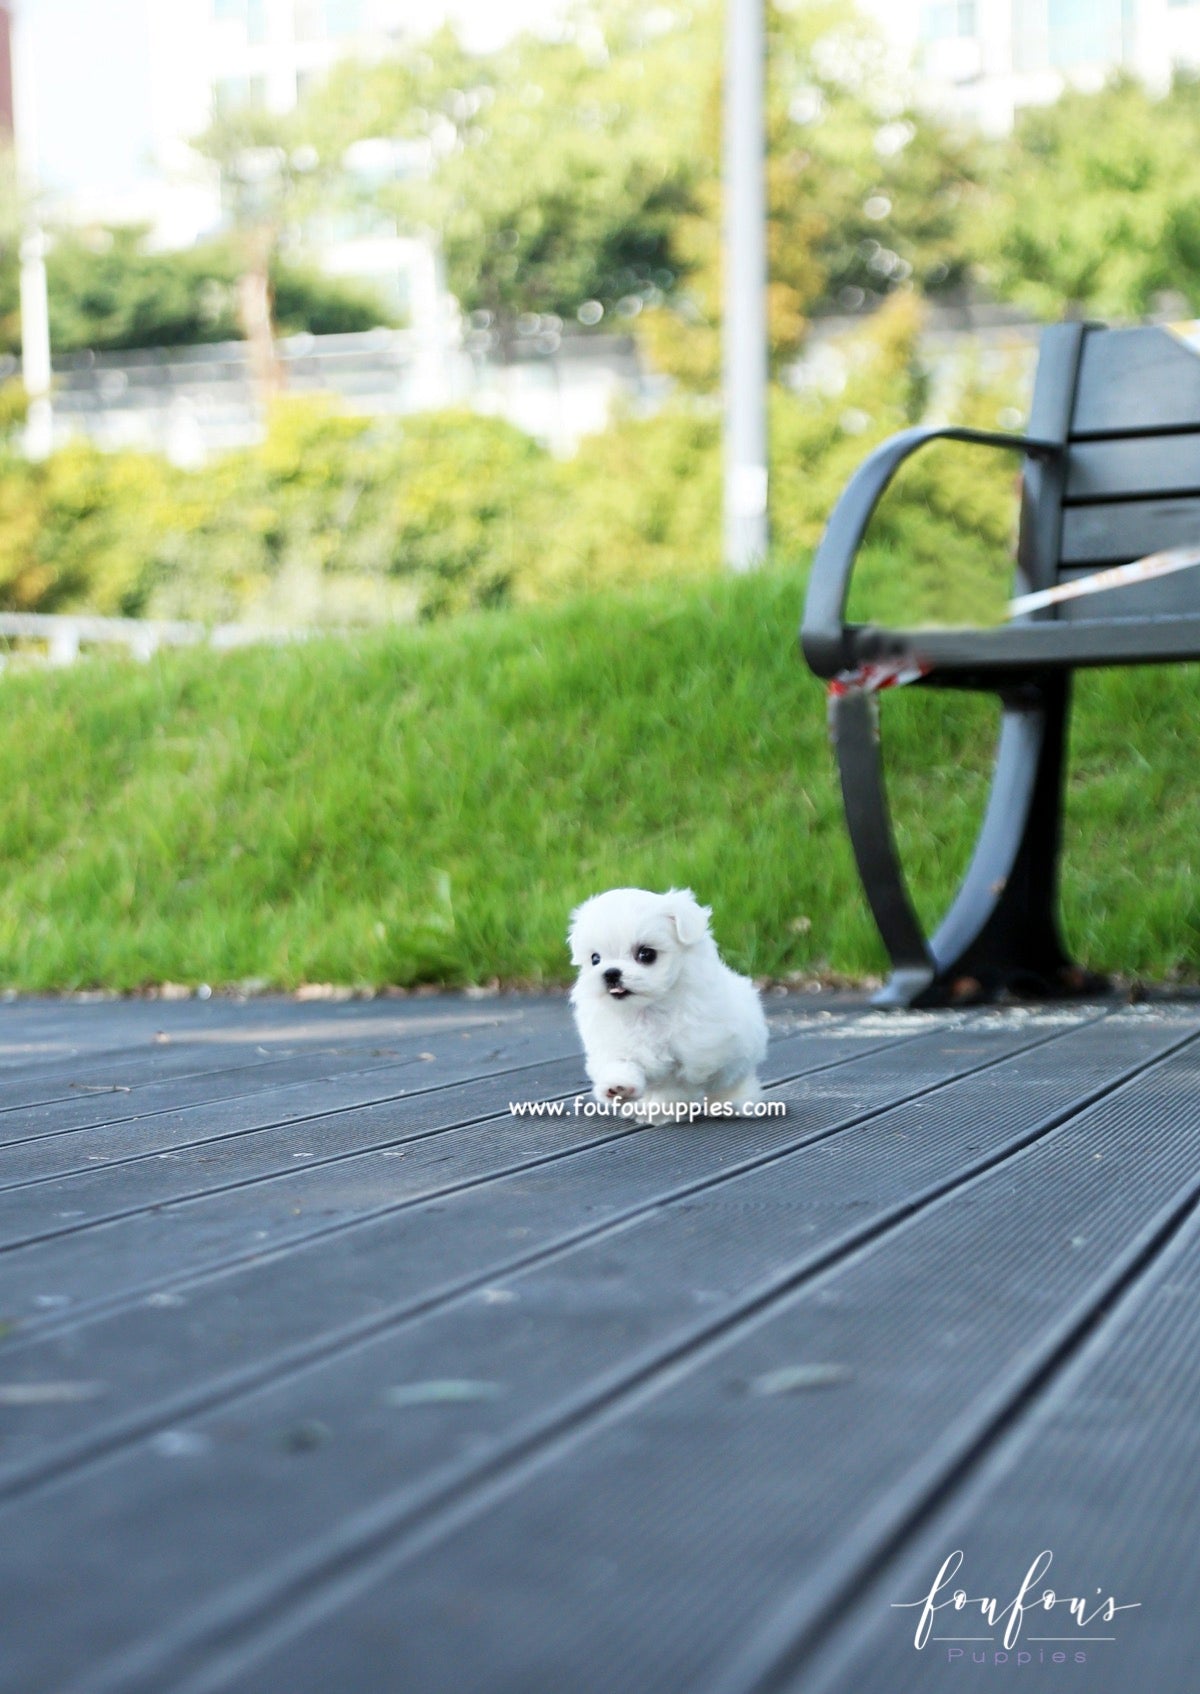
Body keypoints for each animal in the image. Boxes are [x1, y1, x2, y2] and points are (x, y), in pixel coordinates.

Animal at [566, 887, 769, 1111]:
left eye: (646, 954)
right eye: (595, 959)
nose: (611, 973)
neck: (646, 1010)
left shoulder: (699, 1053)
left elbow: (680, 1082)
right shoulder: (613, 1041)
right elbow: (620, 1063)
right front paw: (619, 1087)